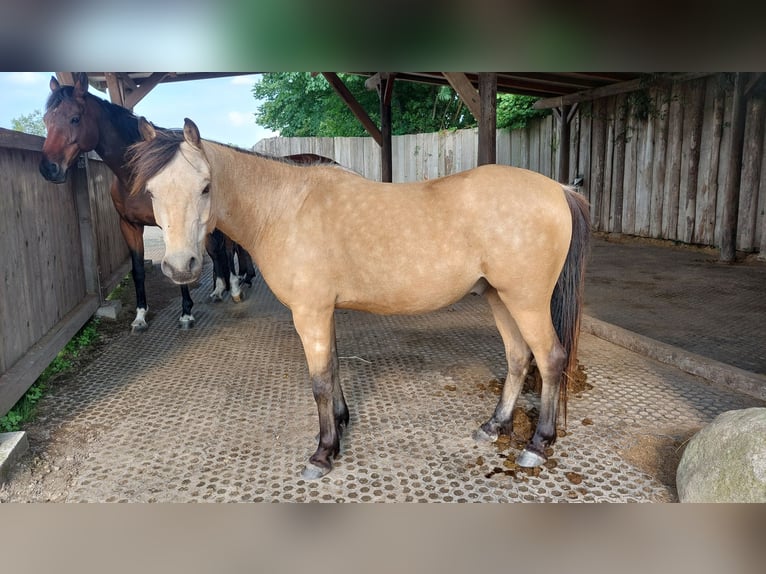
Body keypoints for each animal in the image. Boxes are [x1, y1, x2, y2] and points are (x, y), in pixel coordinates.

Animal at [129, 118, 592, 482]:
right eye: (151, 191)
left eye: (206, 187)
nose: (180, 267)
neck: (285, 209)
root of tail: (558, 190)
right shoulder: (322, 312)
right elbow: (333, 368)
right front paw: (340, 426)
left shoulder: (310, 313)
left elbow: (318, 381)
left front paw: (322, 453)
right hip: (501, 297)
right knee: (518, 357)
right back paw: (493, 426)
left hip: (526, 301)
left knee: (550, 358)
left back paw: (537, 445)